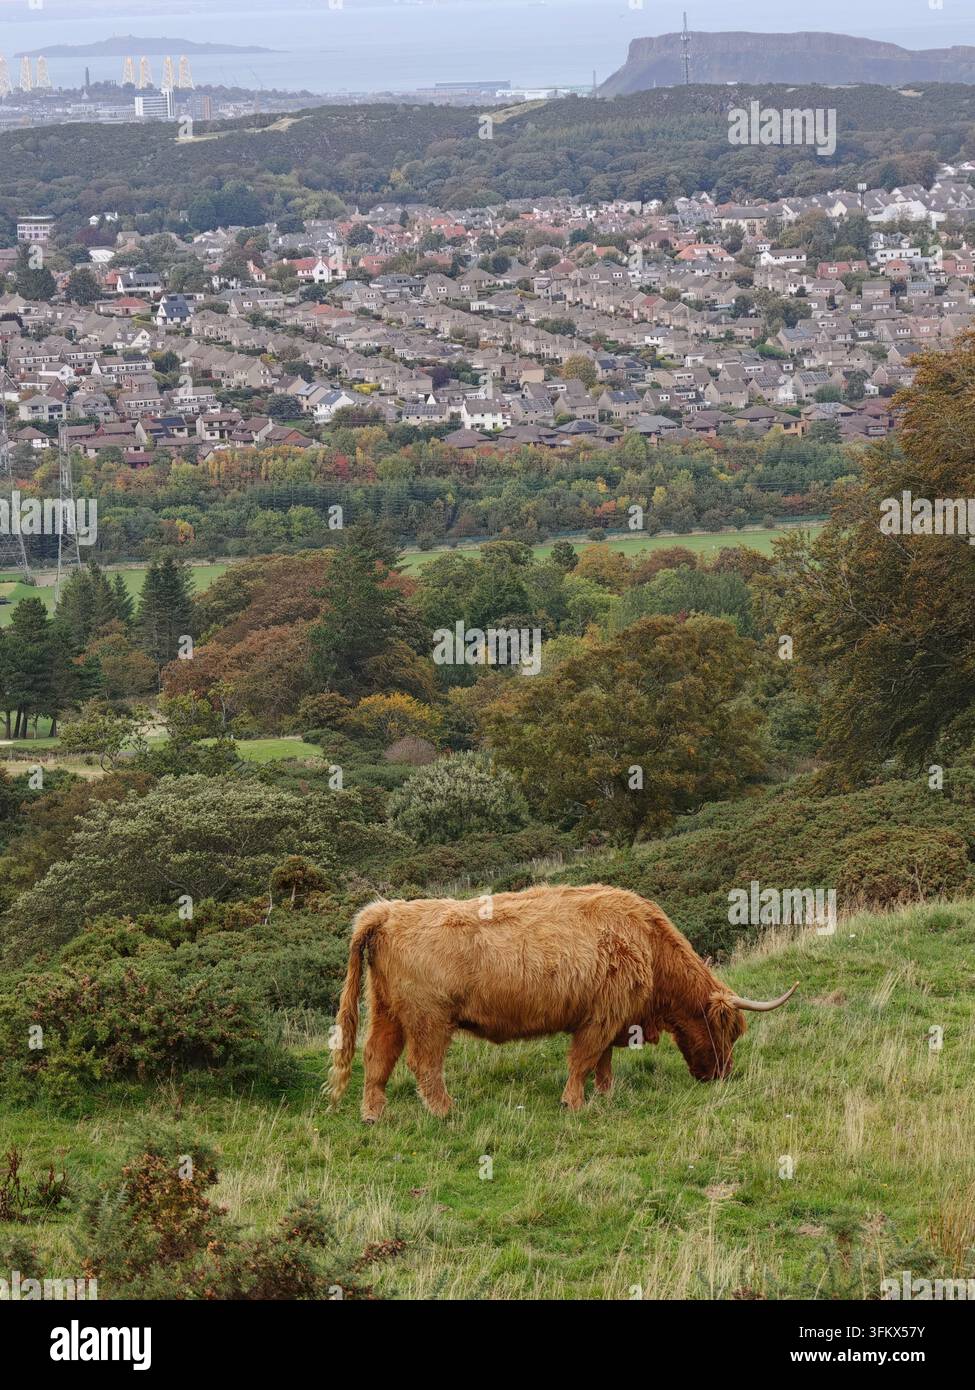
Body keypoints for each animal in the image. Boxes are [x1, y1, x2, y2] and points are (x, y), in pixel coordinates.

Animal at [327, 884, 797, 1121]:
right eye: (728, 1029)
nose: (722, 1074)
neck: (649, 943)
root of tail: (387, 912)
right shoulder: (601, 1016)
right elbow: (583, 1059)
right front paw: (574, 1102)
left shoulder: (611, 1017)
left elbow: (603, 1061)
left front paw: (605, 1095)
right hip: (429, 1018)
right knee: (423, 1064)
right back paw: (446, 1111)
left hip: (386, 1010)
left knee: (377, 1058)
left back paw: (373, 1113)